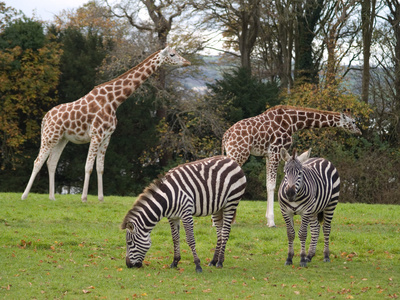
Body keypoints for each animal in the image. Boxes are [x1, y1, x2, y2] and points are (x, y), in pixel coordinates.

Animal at [21, 45, 191, 203]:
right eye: (172, 54)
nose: (187, 62)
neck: (114, 101)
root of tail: (45, 118)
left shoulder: (107, 137)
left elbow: (100, 168)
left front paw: (101, 198)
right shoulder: (96, 135)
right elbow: (88, 167)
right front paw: (84, 198)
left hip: (62, 139)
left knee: (51, 163)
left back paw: (52, 197)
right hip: (50, 136)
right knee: (38, 161)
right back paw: (24, 196)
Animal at [222, 104, 362, 226]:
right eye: (353, 121)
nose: (359, 132)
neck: (293, 122)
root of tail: (226, 136)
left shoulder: (269, 155)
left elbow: (269, 184)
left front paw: (268, 218)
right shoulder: (276, 151)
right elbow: (272, 185)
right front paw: (271, 221)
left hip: (233, 153)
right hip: (239, 153)